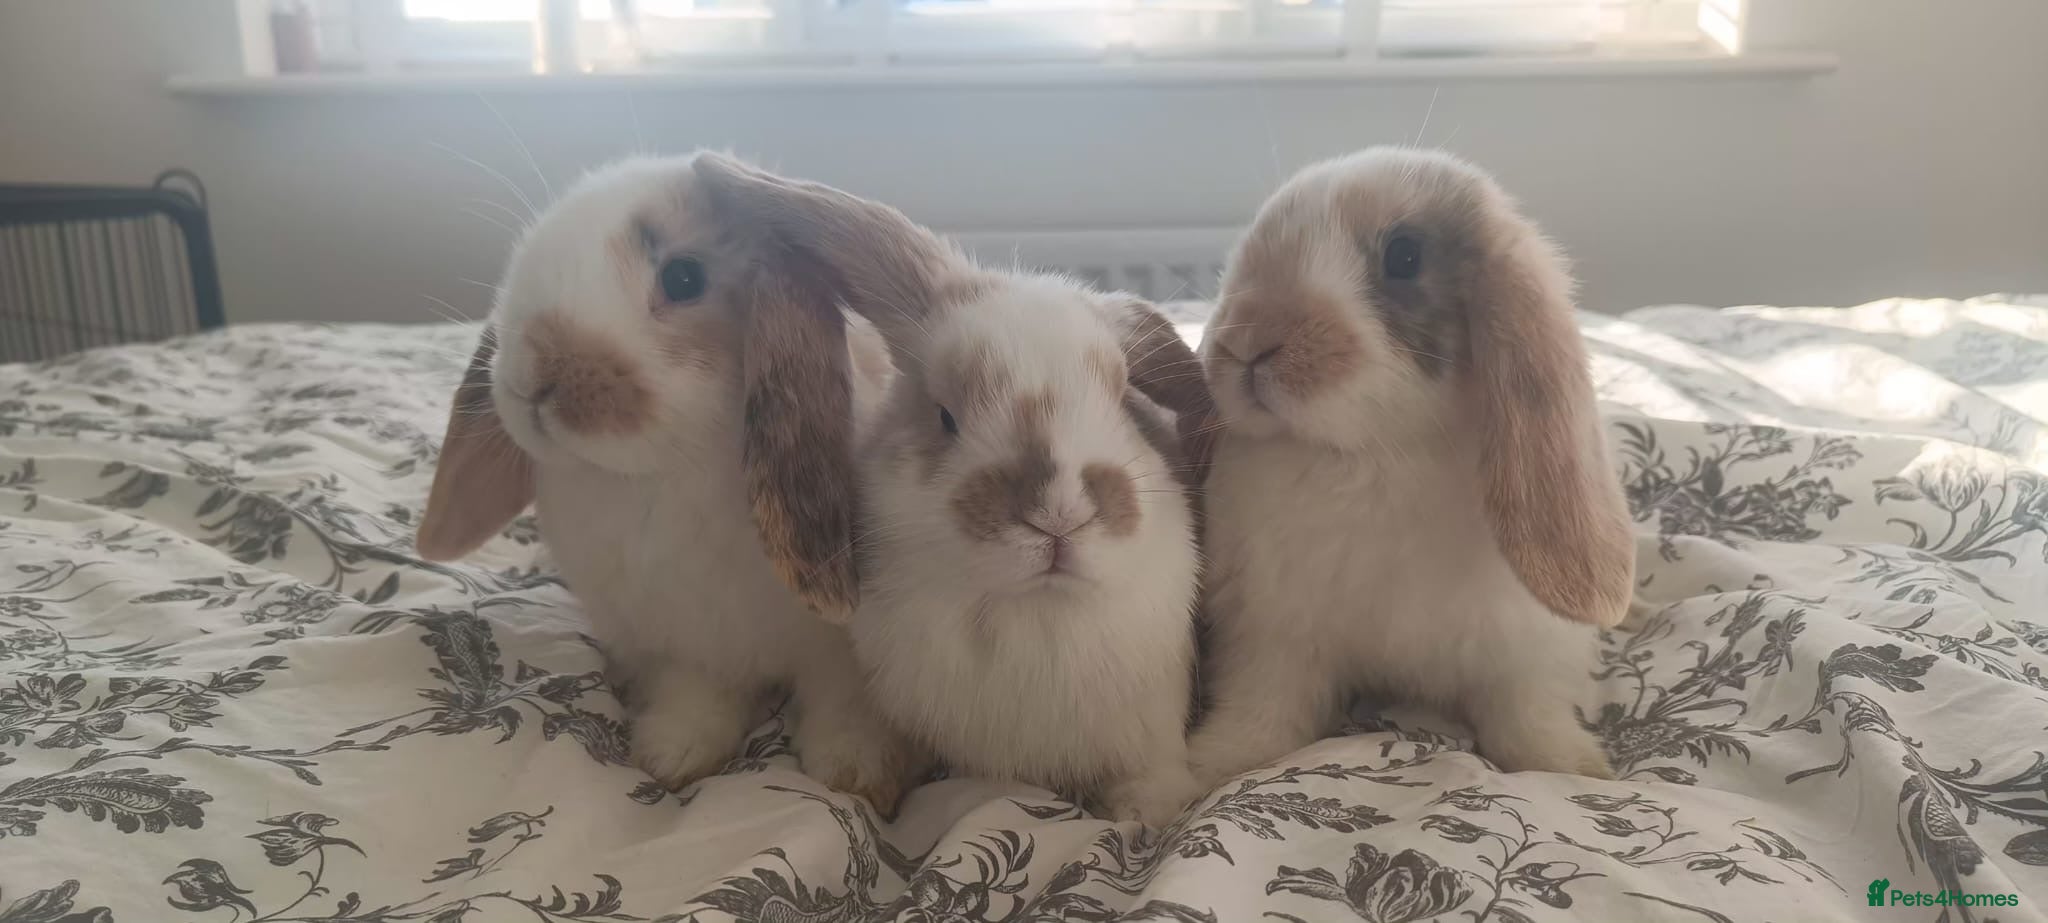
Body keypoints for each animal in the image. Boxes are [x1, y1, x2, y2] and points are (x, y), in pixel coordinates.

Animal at [414, 155, 923, 814]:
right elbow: (698, 695)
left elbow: (847, 700)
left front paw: (857, 773)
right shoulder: (688, 641)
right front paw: (671, 757)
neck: (662, 475)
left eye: (684, 278)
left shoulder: (843, 652)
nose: (531, 379)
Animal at [693, 155, 1217, 826]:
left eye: (1128, 403)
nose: (1058, 514)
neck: (1031, 614)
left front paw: (1150, 809)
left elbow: (1150, 773)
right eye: (945, 416)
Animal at [1185, 147, 1633, 783]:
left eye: (1404, 256)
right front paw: (1201, 769)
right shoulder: (1275, 638)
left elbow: (1527, 718)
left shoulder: (1522, 652)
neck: (1374, 455)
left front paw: (1575, 771)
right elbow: (1266, 715)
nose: (1247, 340)